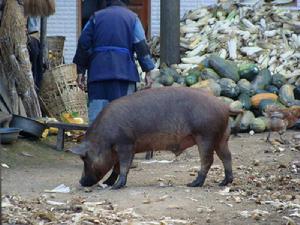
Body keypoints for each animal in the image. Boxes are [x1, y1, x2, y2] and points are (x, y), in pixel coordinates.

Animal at [69, 87, 241, 189]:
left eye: (84, 158)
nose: (80, 181)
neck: (103, 140)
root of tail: (224, 106)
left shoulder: (126, 144)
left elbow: (123, 166)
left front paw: (116, 186)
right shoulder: (118, 149)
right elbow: (116, 167)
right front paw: (107, 183)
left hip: (206, 136)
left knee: (208, 160)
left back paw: (192, 184)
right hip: (222, 138)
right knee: (227, 156)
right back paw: (223, 183)